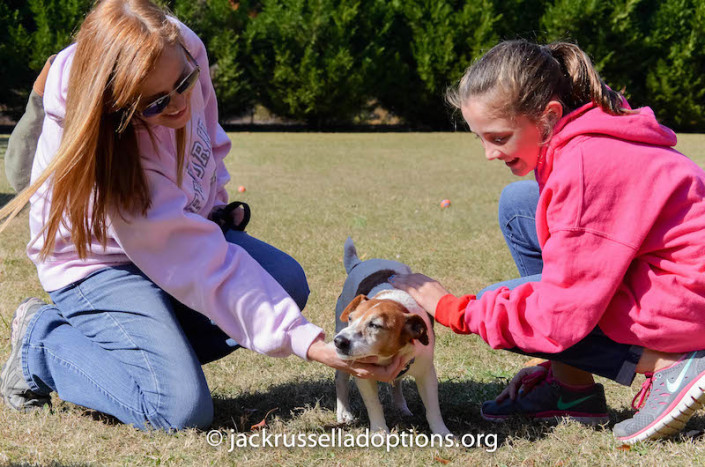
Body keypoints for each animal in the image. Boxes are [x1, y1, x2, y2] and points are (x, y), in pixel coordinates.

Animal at [334, 239, 452, 436]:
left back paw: (401, 407)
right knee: (341, 379)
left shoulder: (426, 373)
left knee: (397, 382)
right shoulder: (363, 375)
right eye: (350, 318)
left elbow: (433, 408)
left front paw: (441, 433)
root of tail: (358, 263)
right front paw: (380, 432)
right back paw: (344, 413)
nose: (339, 341)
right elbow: (373, 404)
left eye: (375, 325)